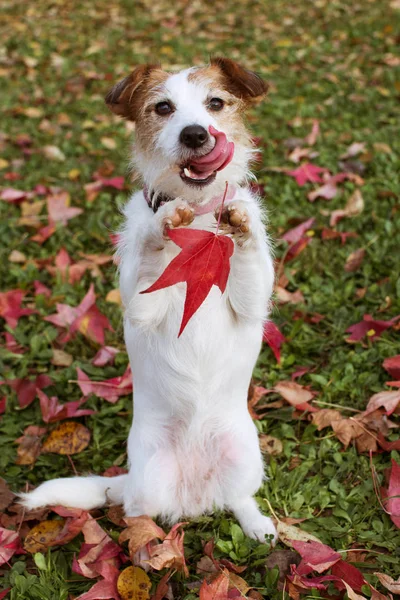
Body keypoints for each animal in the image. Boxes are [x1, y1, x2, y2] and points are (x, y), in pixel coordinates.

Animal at [20, 57, 278, 544]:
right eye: (163, 108)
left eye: (216, 103)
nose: (195, 134)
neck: (199, 219)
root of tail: (195, 494)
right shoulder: (141, 305)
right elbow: (150, 257)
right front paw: (162, 225)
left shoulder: (253, 304)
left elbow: (249, 257)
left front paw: (242, 222)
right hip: (152, 476)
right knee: (136, 511)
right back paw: (145, 540)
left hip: (245, 457)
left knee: (239, 498)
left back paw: (259, 526)